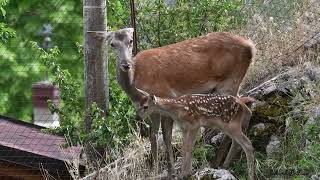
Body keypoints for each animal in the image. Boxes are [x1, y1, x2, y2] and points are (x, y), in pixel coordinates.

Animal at [89, 28, 256, 177]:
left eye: (131, 41)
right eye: (112, 44)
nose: (125, 64)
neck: (136, 81)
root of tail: (251, 46)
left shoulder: (164, 96)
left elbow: (166, 136)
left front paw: (170, 171)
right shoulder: (153, 110)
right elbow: (153, 135)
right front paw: (155, 170)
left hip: (230, 82)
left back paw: (220, 162)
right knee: (246, 108)